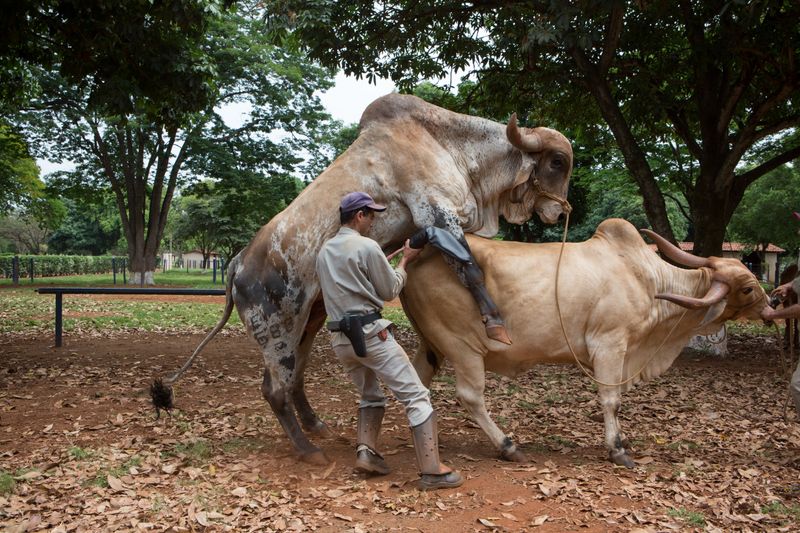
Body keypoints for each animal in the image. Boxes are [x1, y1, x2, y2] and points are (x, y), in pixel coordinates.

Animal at [153, 93, 573, 464]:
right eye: (556, 162)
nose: (559, 212)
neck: (448, 143)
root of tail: (238, 263)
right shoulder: (436, 213)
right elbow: (469, 268)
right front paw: (495, 322)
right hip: (276, 330)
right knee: (274, 390)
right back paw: (308, 450)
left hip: (309, 320)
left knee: (295, 378)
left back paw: (317, 426)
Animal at [401, 218, 768, 468]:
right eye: (748, 287)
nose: (771, 304)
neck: (646, 278)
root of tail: (416, 258)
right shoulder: (610, 345)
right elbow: (611, 400)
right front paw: (617, 449)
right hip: (462, 346)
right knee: (470, 396)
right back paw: (507, 445)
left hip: (431, 345)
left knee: (418, 385)